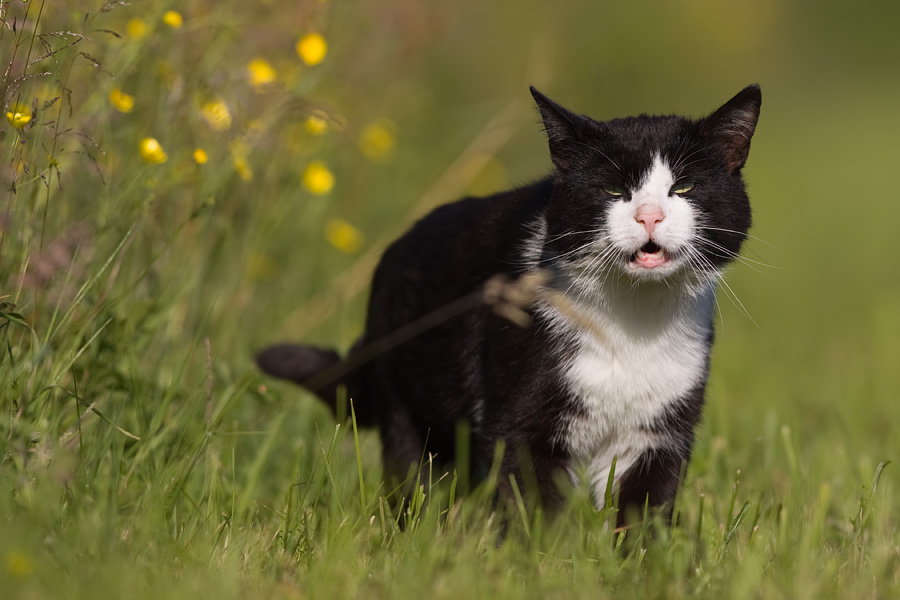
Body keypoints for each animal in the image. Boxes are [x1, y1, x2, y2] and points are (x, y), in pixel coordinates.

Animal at [256, 84, 764, 524]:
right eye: (612, 190)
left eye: (685, 188)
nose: (650, 215)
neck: (632, 323)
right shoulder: (517, 421)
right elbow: (534, 506)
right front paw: (542, 561)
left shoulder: (661, 431)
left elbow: (645, 515)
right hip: (408, 408)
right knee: (414, 480)